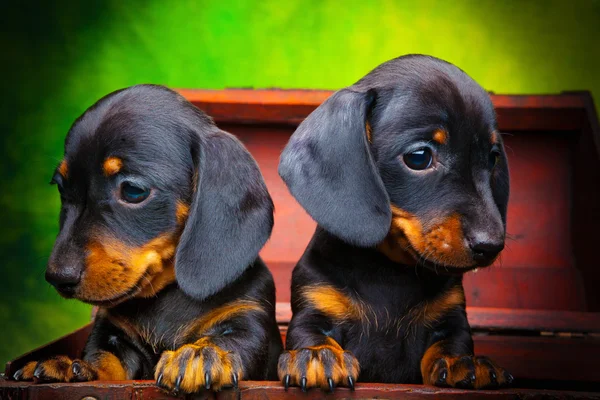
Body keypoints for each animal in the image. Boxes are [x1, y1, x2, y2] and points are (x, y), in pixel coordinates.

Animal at [12, 84, 282, 394]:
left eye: (133, 190)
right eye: (60, 187)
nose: (57, 277)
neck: (165, 293)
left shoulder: (249, 318)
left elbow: (233, 340)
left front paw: (200, 354)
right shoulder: (111, 334)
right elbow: (104, 359)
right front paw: (73, 366)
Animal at [278, 54, 512, 390]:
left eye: (492, 157)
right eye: (419, 157)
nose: (491, 245)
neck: (389, 272)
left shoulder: (451, 317)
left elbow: (452, 342)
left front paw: (462, 361)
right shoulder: (315, 303)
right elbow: (307, 333)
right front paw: (318, 355)